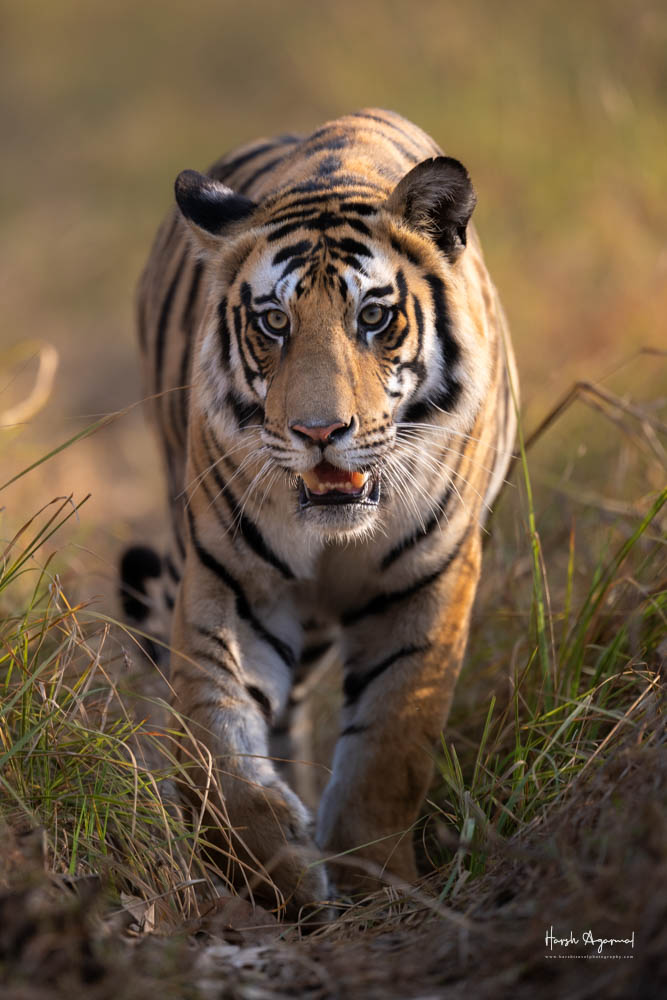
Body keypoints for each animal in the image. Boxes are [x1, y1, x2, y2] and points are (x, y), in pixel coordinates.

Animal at [121, 108, 517, 918]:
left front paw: (375, 883)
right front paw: (280, 873)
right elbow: (215, 743)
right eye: (273, 322)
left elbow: (390, 745)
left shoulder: (428, 585)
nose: (317, 431)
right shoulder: (234, 582)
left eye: (374, 316)